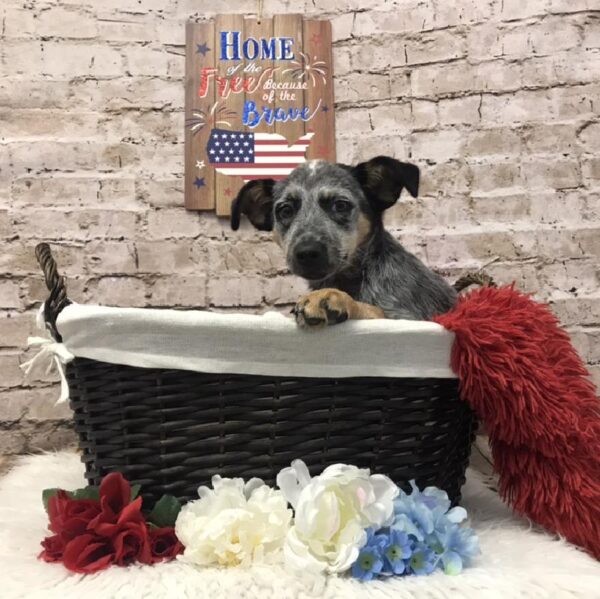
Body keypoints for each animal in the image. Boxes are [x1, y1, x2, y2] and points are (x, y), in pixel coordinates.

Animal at [232, 157, 458, 328]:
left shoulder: (412, 318)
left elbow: (375, 311)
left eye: (340, 205)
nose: (307, 252)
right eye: (285, 210)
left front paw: (334, 298)